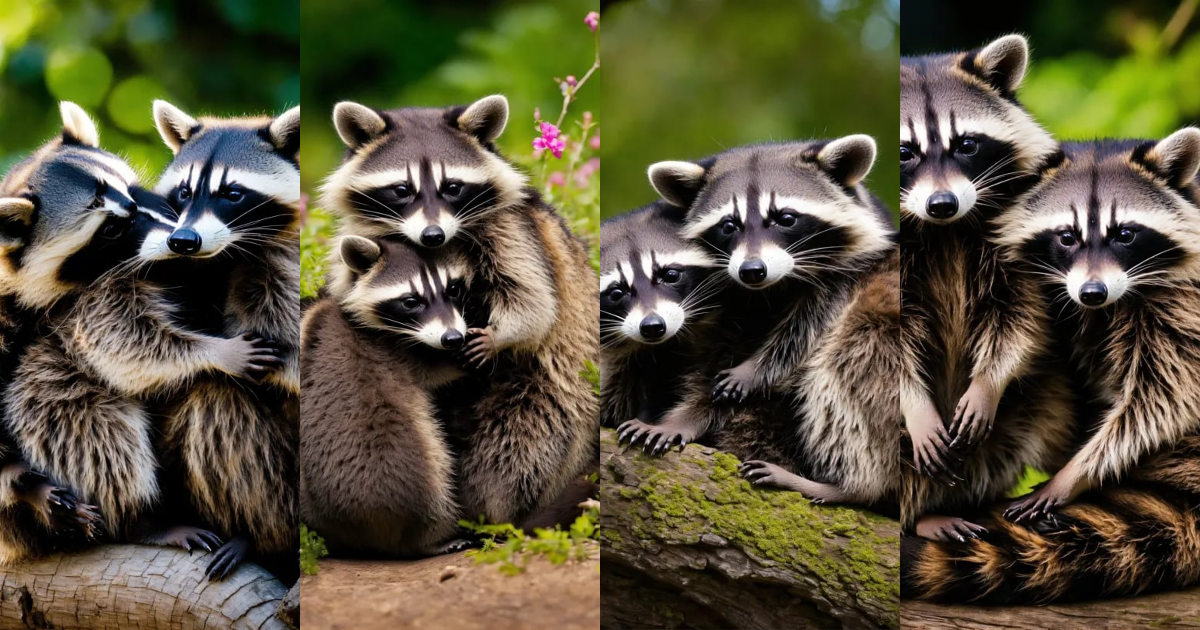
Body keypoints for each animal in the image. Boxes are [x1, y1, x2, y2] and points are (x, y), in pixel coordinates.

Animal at [151, 101, 301, 581]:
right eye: (184, 192)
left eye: (232, 193)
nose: (183, 241)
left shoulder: (280, 267)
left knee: (215, 399)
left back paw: (258, 537)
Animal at [301, 236, 471, 557]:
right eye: (411, 301)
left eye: (453, 289)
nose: (453, 339)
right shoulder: (401, 353)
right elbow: (439, 371)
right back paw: (432, 539)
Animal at [321, 95, 597, 526]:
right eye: (402, 189)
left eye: (452, 187)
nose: (433, 235)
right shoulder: (369, 236)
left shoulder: (511, 230)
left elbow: (534, 299)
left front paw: (501, 335)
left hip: (551, 393)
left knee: (516, 446)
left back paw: (492, 511)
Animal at [898, 34, 1074, 537]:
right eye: (905, 152)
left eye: (966, 144)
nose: (942, 203)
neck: (944, 229)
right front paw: (914, 407)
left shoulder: (1017, 237)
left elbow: (1022, 319)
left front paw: (986, 385)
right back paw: (922, 516)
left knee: (1054, 410)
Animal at [904, 130, 1200, 603]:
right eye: (1066, 237)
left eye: (1125, 234)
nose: (1093, 292)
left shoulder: (1181, 297)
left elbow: (1163, 395)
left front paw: (1076, 473)